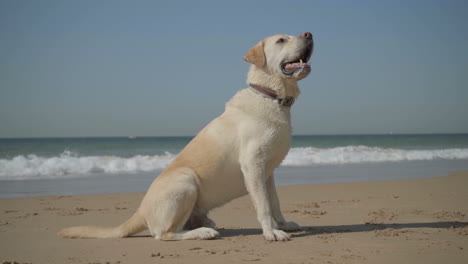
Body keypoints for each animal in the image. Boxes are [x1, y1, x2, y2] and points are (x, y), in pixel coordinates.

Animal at [59, 31, 314, 241]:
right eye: (281, 40)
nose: (309, 34)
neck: (270, 96)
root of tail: (141, 211)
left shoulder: (267, 171)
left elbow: (274, 203)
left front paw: (283, 225)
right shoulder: (253, 165)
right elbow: (263, 205)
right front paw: (271, 232)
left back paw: (205, 224)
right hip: (186, 181)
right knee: (164, 234)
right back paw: (203, 232)